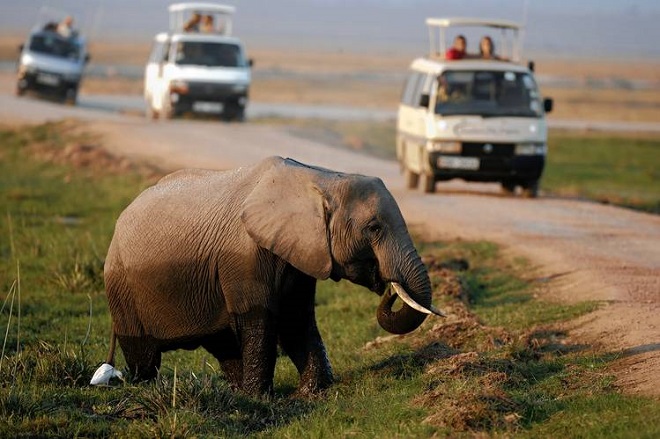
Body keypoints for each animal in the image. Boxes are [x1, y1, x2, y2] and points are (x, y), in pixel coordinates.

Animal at [94, 156, 443, 396]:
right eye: (374, 228)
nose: (388, 287)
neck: (319, 178)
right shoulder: (245, 255)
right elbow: (260, 319)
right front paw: (261, 398)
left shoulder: (299, 253)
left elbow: (295, 319)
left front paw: (312, 393)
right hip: (122, 286)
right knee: (143, 355)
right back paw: (145, 388)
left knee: (221, 343)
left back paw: (235, 392)